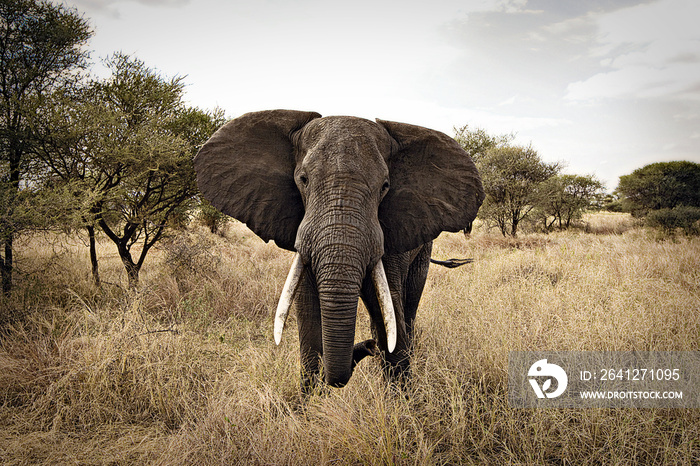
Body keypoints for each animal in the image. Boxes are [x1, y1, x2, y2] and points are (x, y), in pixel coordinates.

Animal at [194, 111, 484, 392]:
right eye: (303, 180)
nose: (367, 346)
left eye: (385, 186)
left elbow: (390, 312)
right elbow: (308, 312)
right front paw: (310, 402)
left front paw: (402, 402)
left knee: (408, 307)